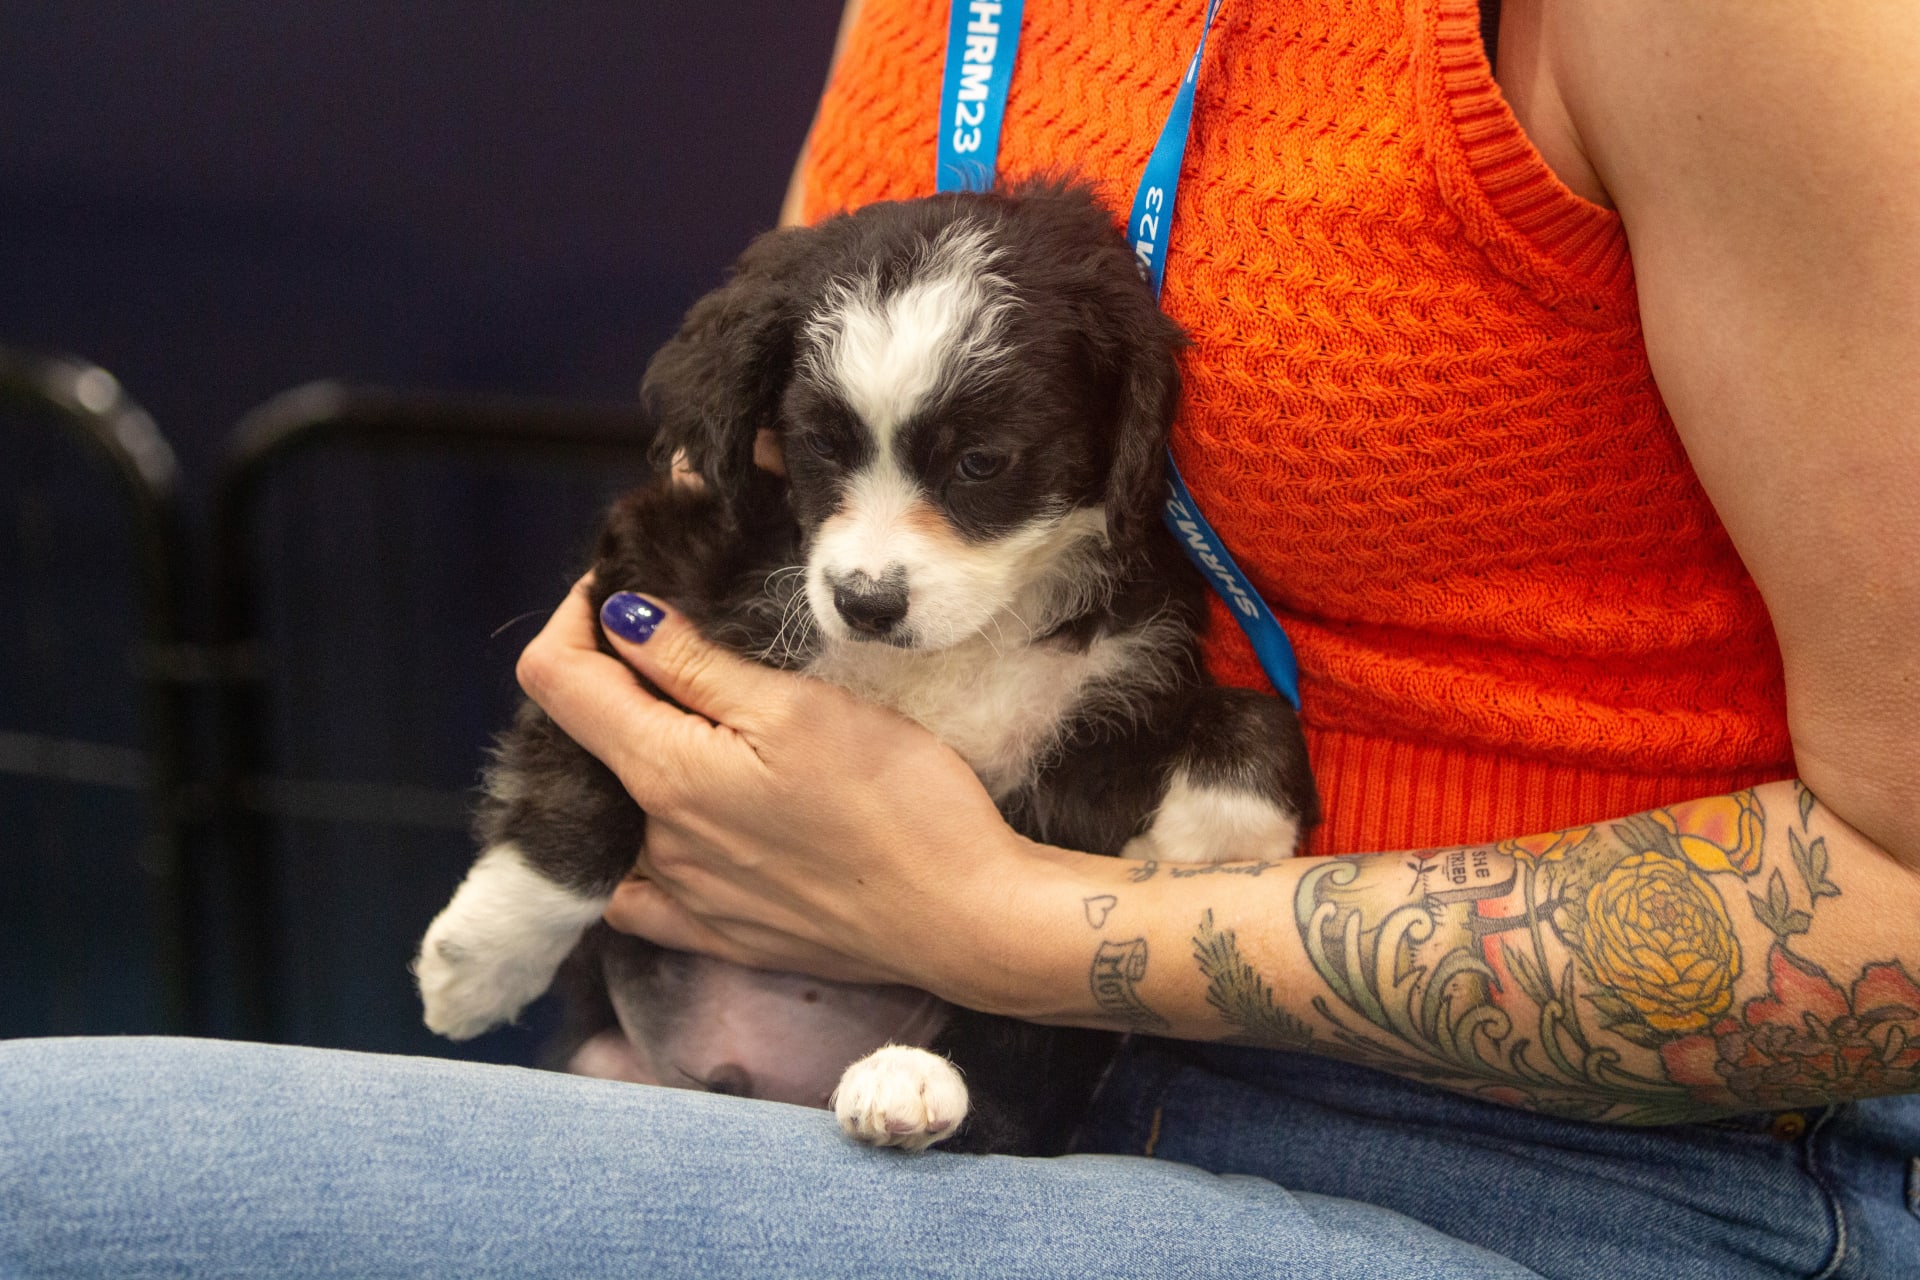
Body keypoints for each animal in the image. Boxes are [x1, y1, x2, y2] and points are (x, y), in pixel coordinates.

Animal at [416, 185, 1320, 1159]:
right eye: (819, 446)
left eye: (981, 461)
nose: (866, 602)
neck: (957, 647)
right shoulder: (648, 583)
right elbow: (581, 780)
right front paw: (482, 957)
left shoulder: (1115, 687)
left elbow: (1248, 711)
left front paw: (1218, 838)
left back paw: (914, 1082)